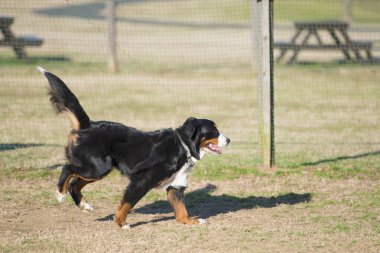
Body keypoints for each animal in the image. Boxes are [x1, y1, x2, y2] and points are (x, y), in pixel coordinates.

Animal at [37, 66, 230, 228]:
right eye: (214, 130)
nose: (228, 140)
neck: (182, 148)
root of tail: (87, 125)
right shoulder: (140, 182)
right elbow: (127, 204)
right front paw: (121, 223)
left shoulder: (175, 187)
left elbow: (181, 210)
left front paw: (190, 221)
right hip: (95, 168)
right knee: (67, 169)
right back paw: (60, 194)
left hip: (99, 170)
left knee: (75, 184)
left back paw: (84, 205)